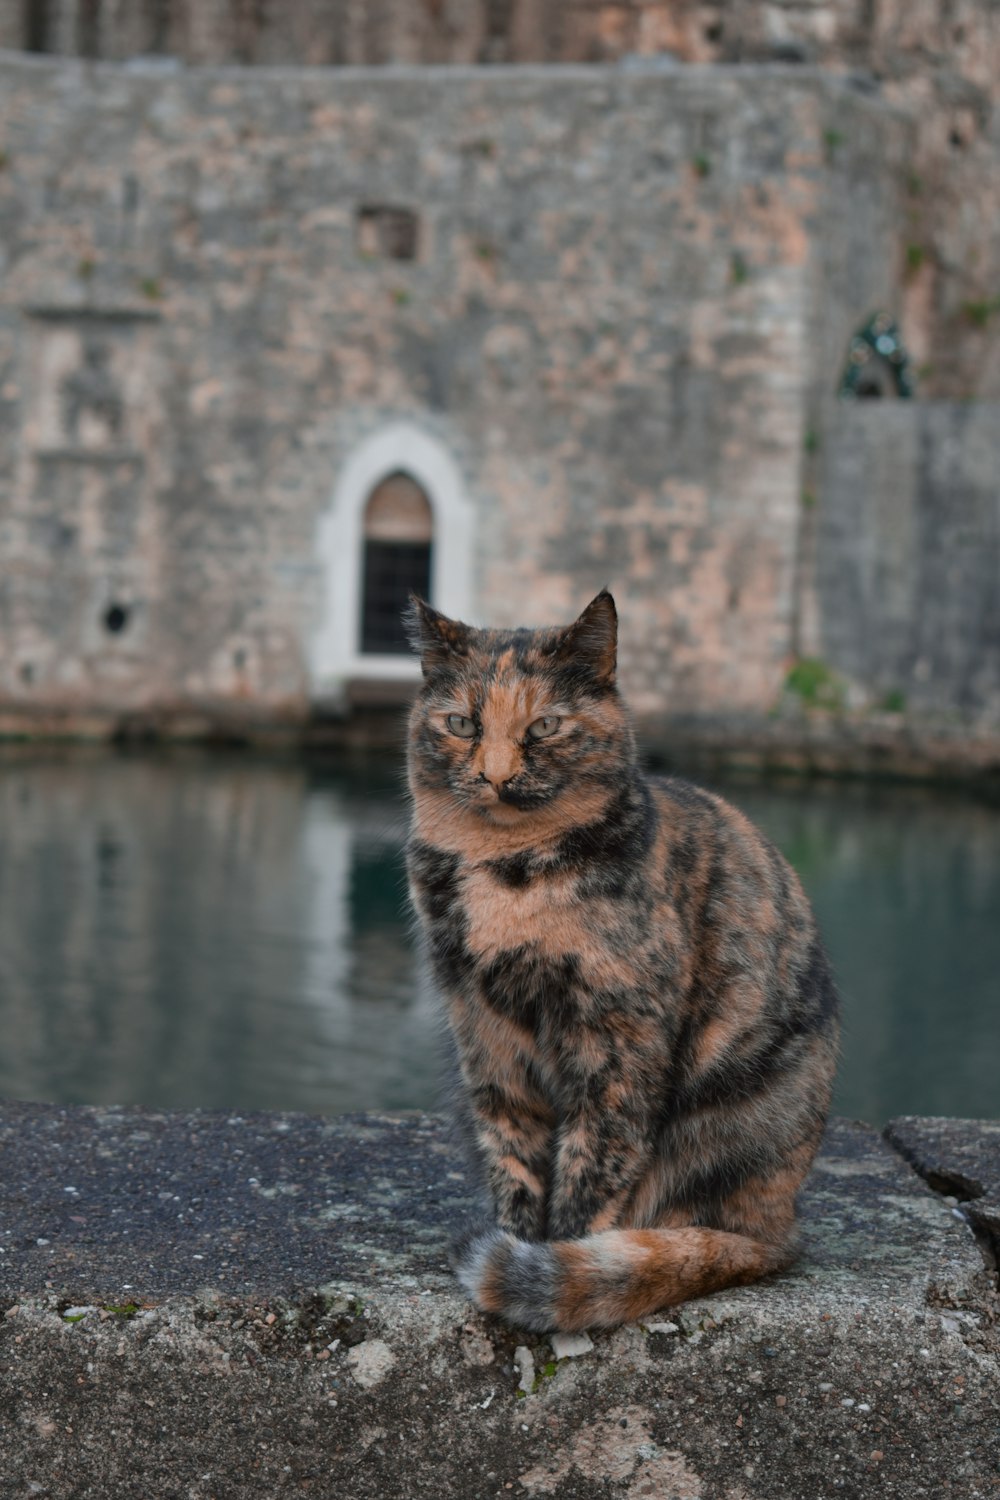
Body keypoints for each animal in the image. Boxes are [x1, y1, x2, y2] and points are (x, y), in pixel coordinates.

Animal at [404, 591, 839, 1332]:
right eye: (461, 723)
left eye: (545, 725)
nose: (495, 776)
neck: (506, 872)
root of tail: (780, 1229)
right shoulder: (483, 1027)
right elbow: (512, 1153)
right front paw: (517, 1243)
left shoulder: (617, 1034)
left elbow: (593, 1166)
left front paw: (559, 1264)